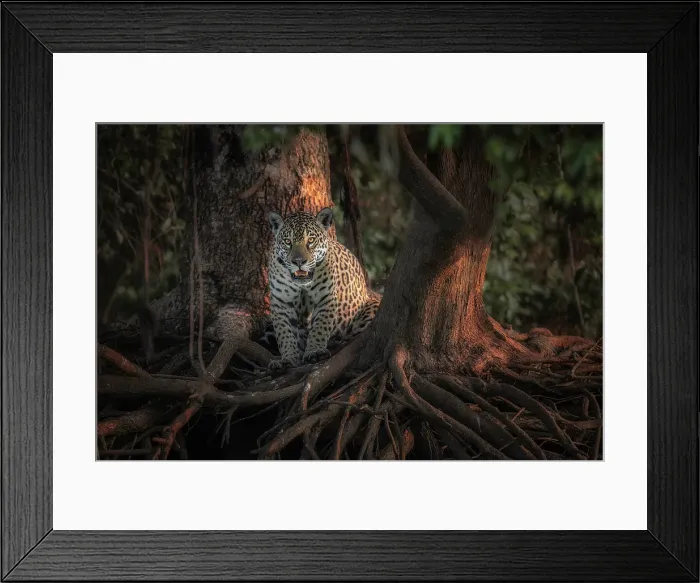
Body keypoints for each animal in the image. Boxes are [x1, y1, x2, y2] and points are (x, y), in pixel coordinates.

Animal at [266, 207, 381, 371]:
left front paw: (315, 351)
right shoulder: (281, 302)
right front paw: (287, 358)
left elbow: (320, 327)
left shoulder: (326, 298)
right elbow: (284, 333)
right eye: (288, 242)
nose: (299, 262)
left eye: (311, 240)